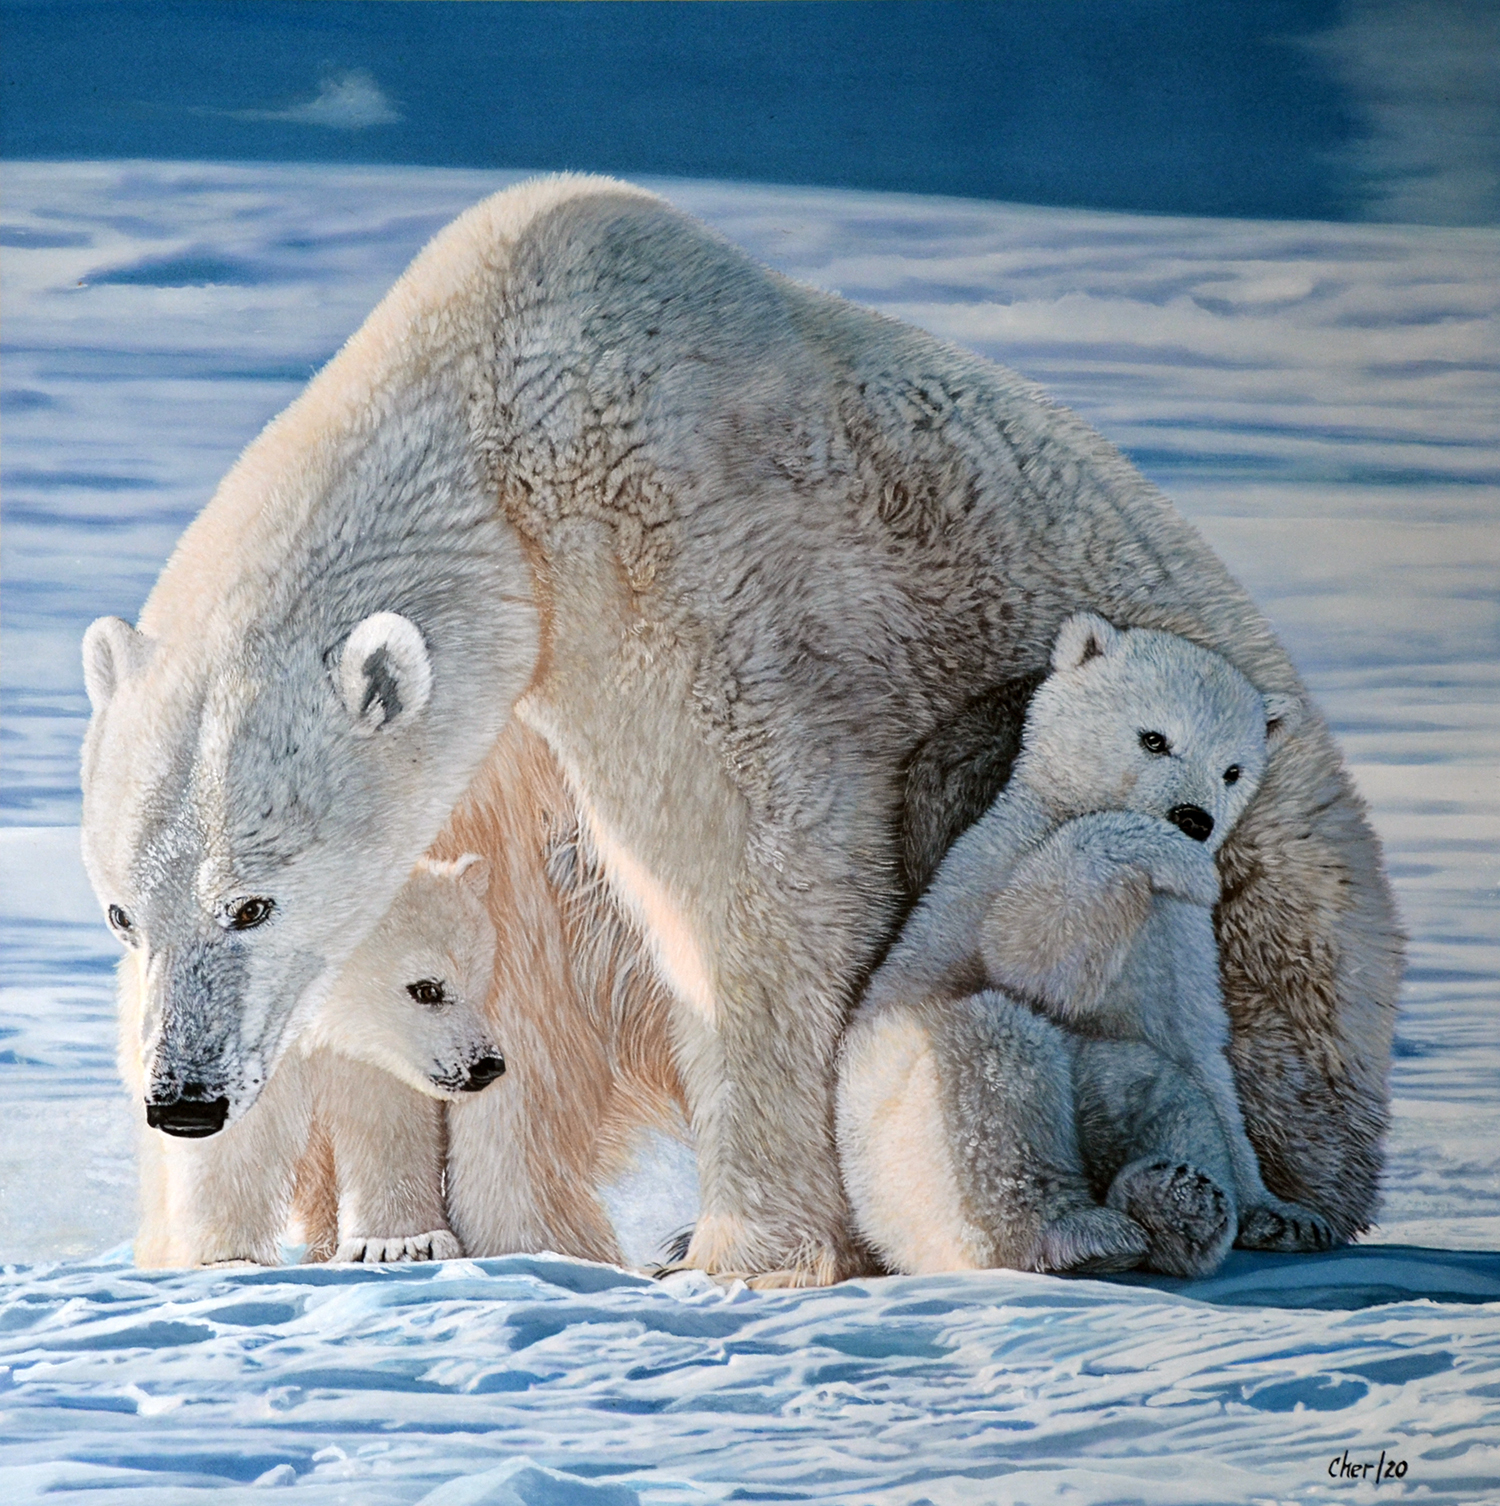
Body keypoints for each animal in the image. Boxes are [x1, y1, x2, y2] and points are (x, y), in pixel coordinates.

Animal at [121, 856, 504, 1267]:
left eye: (479, 983)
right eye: (427, 989)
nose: (487, 1065)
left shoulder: (369, 1055)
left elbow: (385, 1121)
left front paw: (401, 1243)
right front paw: (230, 1258)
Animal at [838, 614, 1339, 1278]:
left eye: (1232, 770)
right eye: (1154, 739)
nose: (1194, 819)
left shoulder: (1179, 951)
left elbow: (1204, 1061)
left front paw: (1283, 1215)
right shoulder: (994, 863)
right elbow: (1022, 947)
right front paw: (1172, 858)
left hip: (1103, 1073)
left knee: (1157, 1093)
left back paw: (1181, 1201)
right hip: (892, 1127)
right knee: (989, 1061)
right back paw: (1077, 1234)